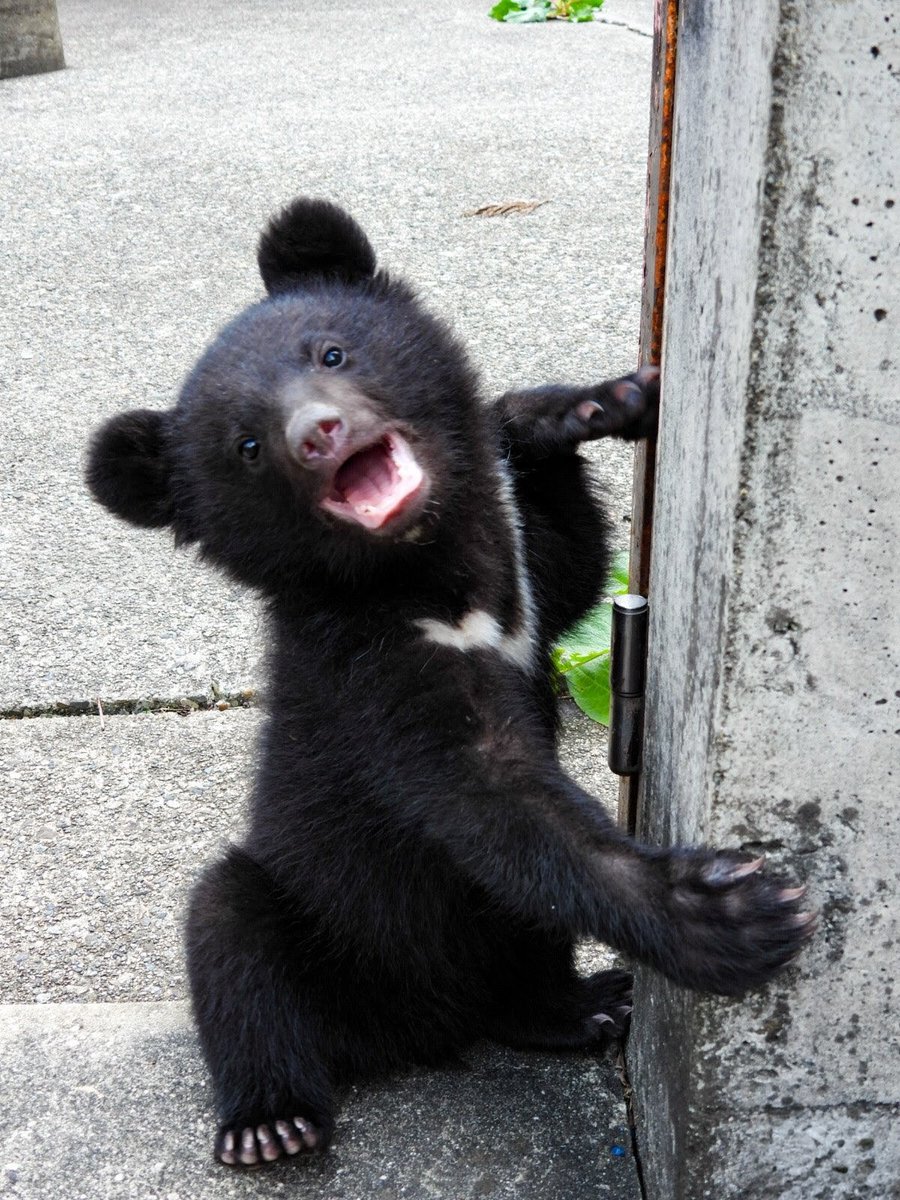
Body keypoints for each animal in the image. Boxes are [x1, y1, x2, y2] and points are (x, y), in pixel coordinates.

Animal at [86, 197, 814, 1168]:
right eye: (246, 447)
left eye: (331, 354)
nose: (318, 433)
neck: (427, 569)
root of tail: (420, 1030)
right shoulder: (368, 670)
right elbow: (494, 800)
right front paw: (733, 915)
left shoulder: (524, 588)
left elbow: (574, 565)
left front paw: (597, 404)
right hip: (313, 919)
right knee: (229, 936)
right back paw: (270, 1122)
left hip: (505, 936)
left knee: (523, 960)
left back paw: (584, 1004)